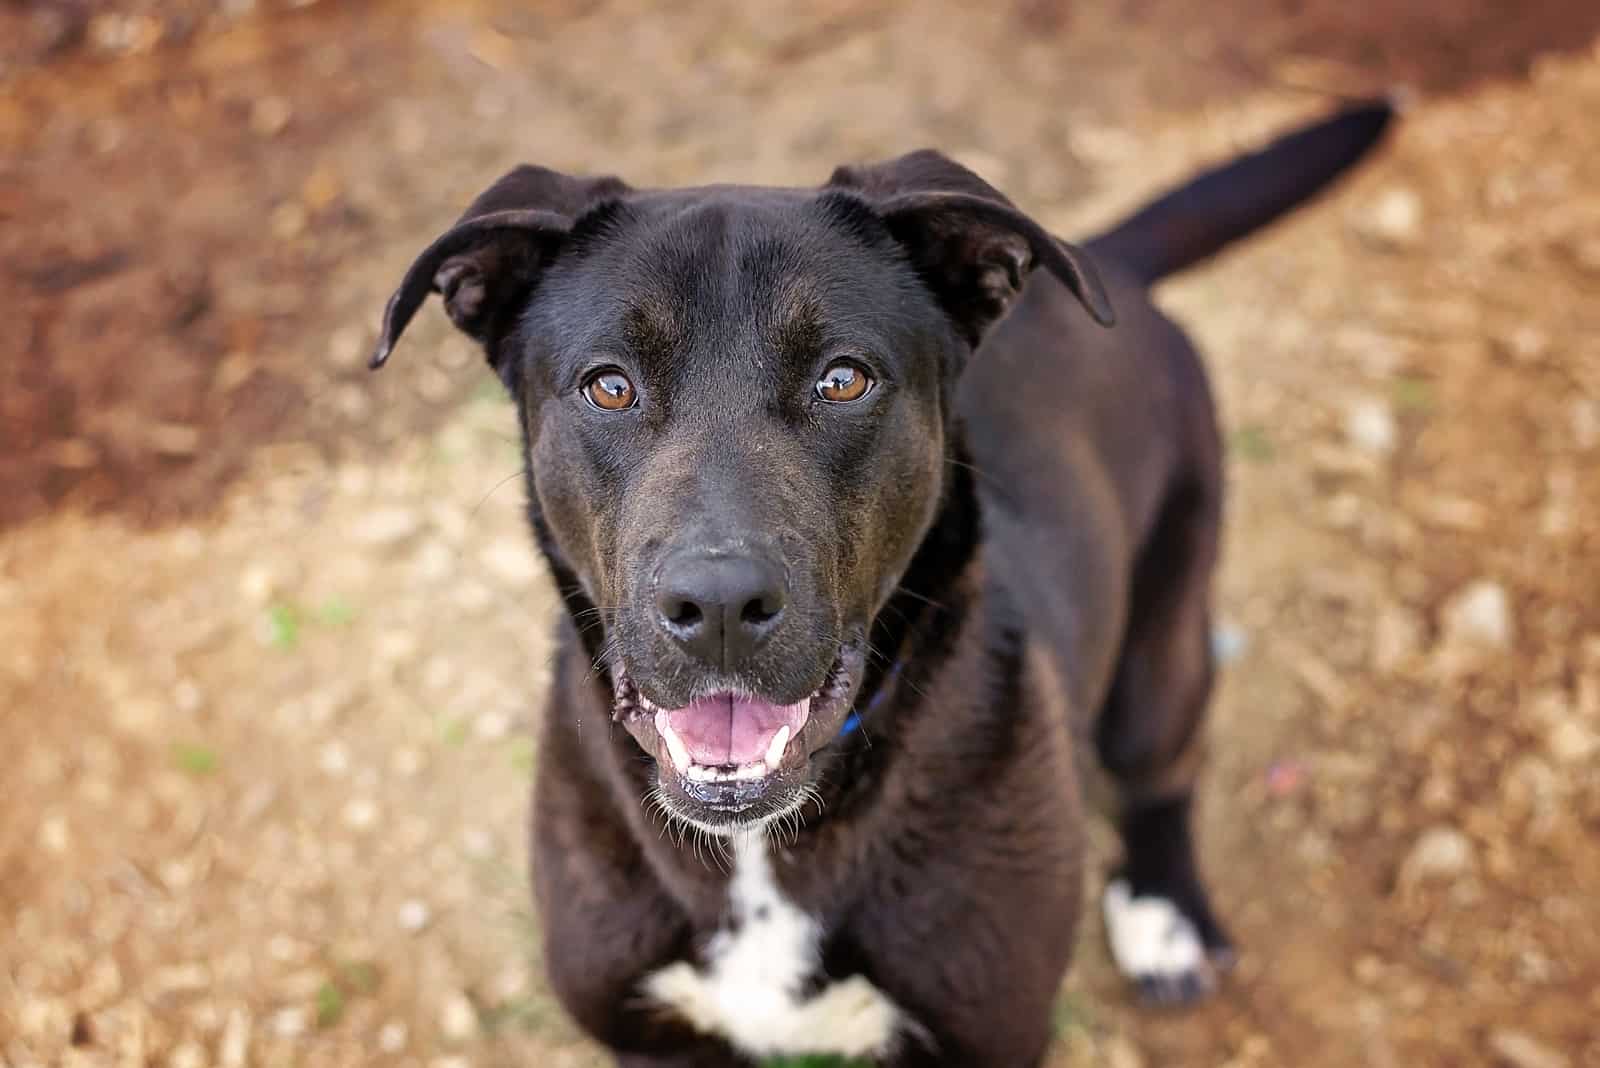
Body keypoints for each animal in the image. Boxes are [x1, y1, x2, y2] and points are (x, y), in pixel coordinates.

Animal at [371, 99, 1388, 1068]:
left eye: (843, 380)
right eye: (610, 387)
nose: (720, 609)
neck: (758, 852)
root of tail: (1111, 258)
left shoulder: (993, 1035)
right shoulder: (647, 1038)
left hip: (1163, 638)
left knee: (1163, 772)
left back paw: (1164, 913)